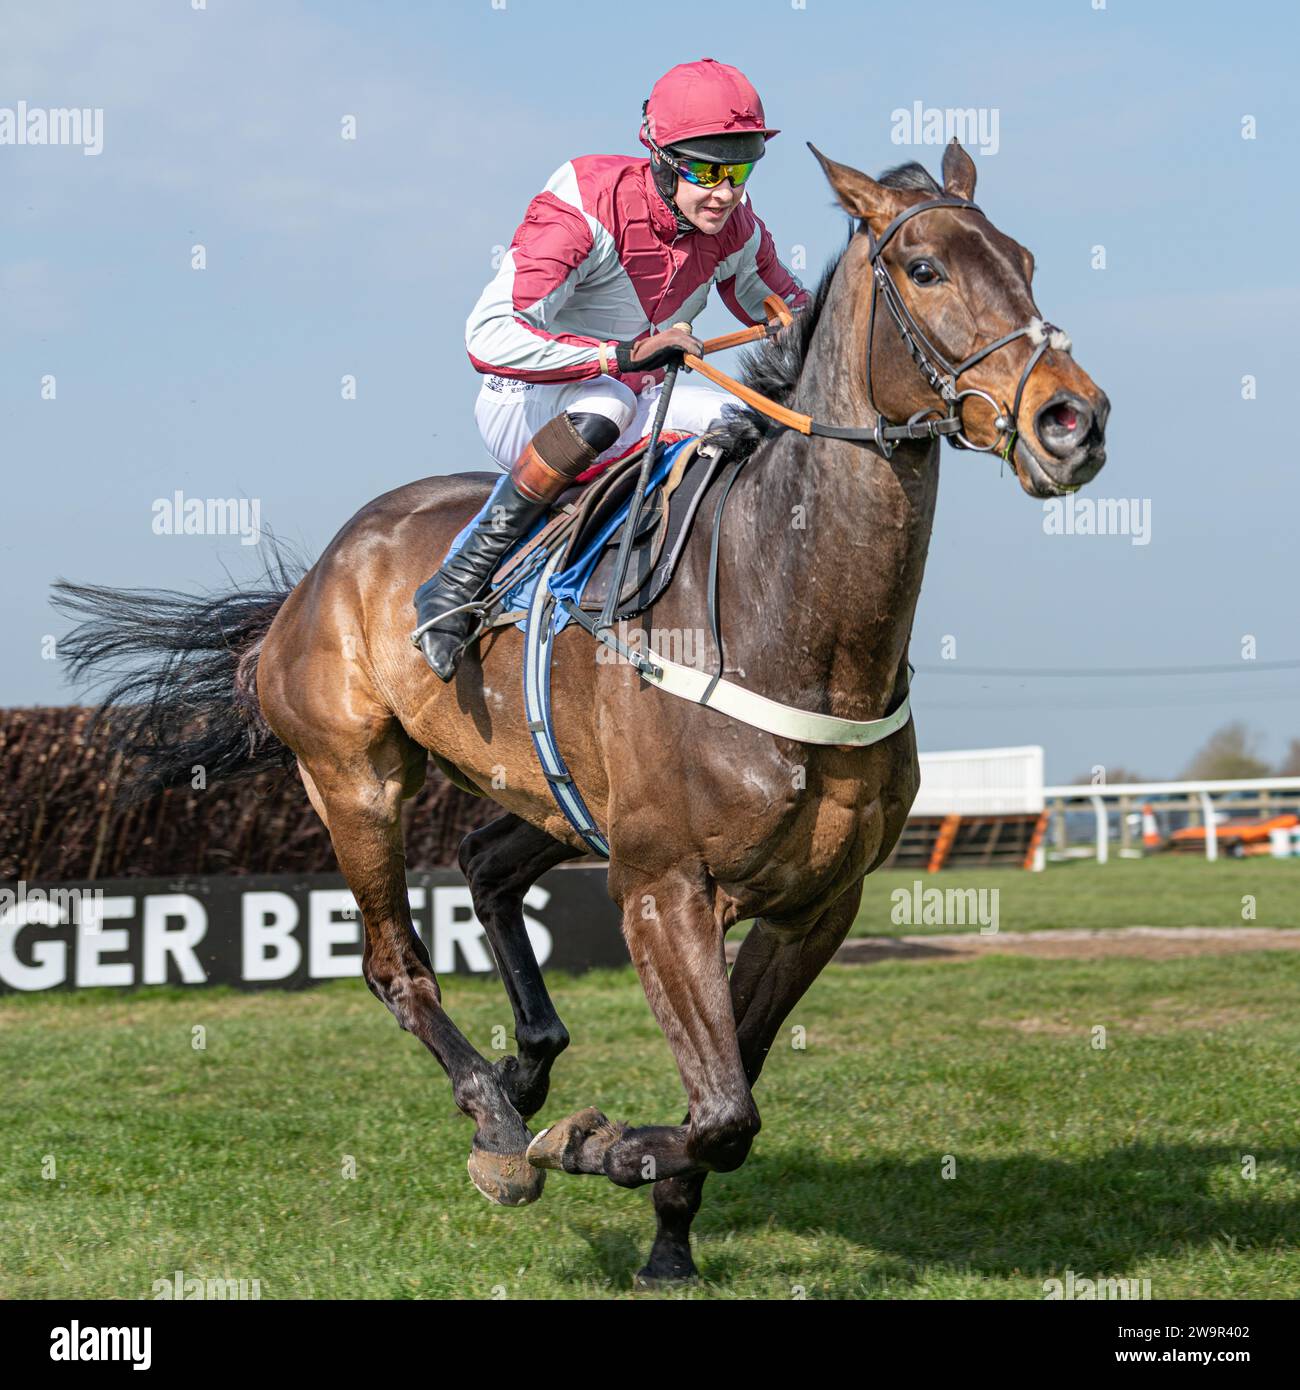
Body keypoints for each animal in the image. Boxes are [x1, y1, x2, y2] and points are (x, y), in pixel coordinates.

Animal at [50, 141, 1106, 1278]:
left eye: (1025, 260)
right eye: (924, 267)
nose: (1071, 420)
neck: (792, 621)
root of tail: (321, 573)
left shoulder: (816, 904)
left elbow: (728, 1099)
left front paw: (665, 1238)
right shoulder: (662, 887)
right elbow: (723, 1110)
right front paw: (587, 1146)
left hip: (551, 794)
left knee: (483, 864)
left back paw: (525, 1073)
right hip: (354, 778)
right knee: (396, 966)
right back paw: (496, 1120)